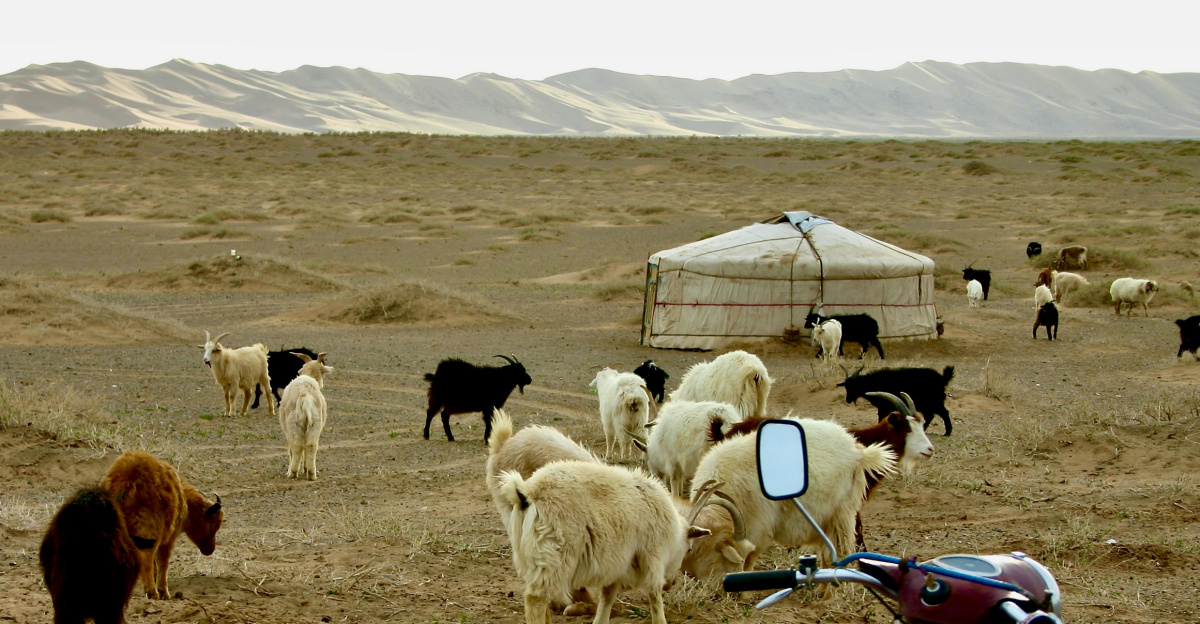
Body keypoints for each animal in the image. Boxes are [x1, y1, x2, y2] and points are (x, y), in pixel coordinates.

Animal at [100, 451, 223, 600]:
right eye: (215, 524)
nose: (210, 549)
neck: (184, 499)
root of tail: (126, 480)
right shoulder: (167, 539)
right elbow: (162, 562)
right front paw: (164, 591)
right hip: (147, 533)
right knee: (146, 559)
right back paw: (152, 593)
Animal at [279, 352, 333, 480]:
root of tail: (305, 394)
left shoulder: (287, 431)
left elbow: (291, 450)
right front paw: (304, 468)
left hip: (293, 423)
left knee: (297, 446)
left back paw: (293, 472)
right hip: (315, 422)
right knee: (311, 445)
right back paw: (311, 473)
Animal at [497, 460, 710, 624]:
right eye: (689, 549)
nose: (671, 583)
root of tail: (526, 493)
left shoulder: (616, 568)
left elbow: (606, 602)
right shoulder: (653, 556)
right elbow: (655, 599)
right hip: (553, 554)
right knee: (536, 598)